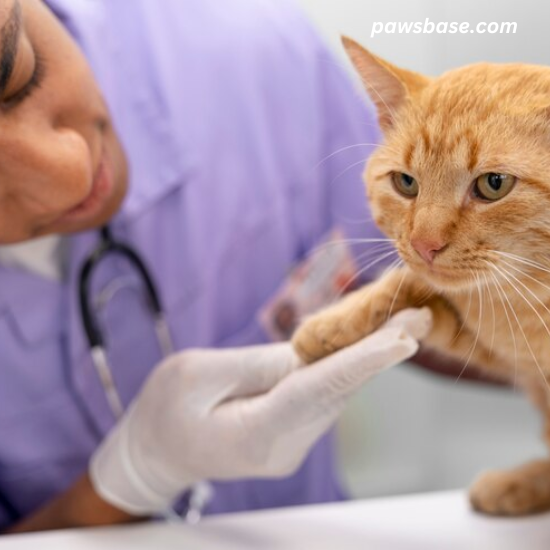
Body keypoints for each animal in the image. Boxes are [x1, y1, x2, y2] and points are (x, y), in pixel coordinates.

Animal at [294, 38, 550, 516]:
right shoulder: (505, 353)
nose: (425, 244)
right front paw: (332, 322)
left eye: (494, 184)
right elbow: (407, 286)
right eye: (405, 183)